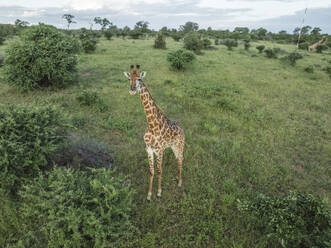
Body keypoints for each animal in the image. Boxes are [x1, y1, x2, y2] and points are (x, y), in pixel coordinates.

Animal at [124, 65, 187, 201]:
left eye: (139, 78)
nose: (132, 90)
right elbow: (151, 171)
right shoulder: (148, 149)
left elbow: (159, 171)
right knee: (178, 159)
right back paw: (178, 178)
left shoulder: (159, 150)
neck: (152, 125)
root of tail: (182, 128)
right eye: (129, 79)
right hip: (173, 147)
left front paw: (158, 192)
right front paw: (149, 195)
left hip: (179, 145)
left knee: (181, 158)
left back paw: (180, 182)